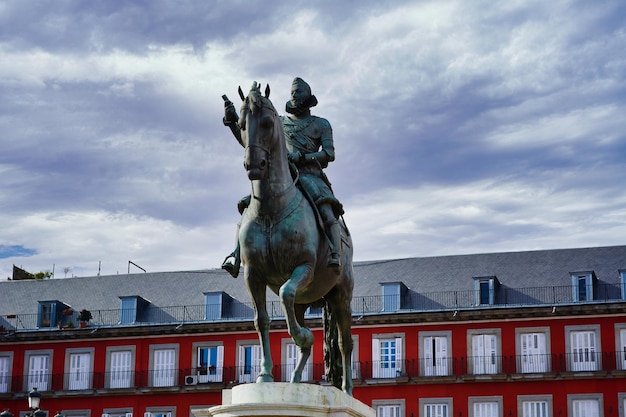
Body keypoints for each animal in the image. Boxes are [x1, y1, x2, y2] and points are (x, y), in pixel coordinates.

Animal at [234, 81, 354, 394]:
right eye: (241, 124)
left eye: (267, 122)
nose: (254, 165)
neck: (270, 207)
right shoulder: (252, 275)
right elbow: (262, 320)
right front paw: (264, 374)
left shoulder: (304, 268)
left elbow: (286, 293)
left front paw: (303, 335)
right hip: (306, 299)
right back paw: (296, 378)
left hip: (341, 295)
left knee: (344, 342)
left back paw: (347, 390)